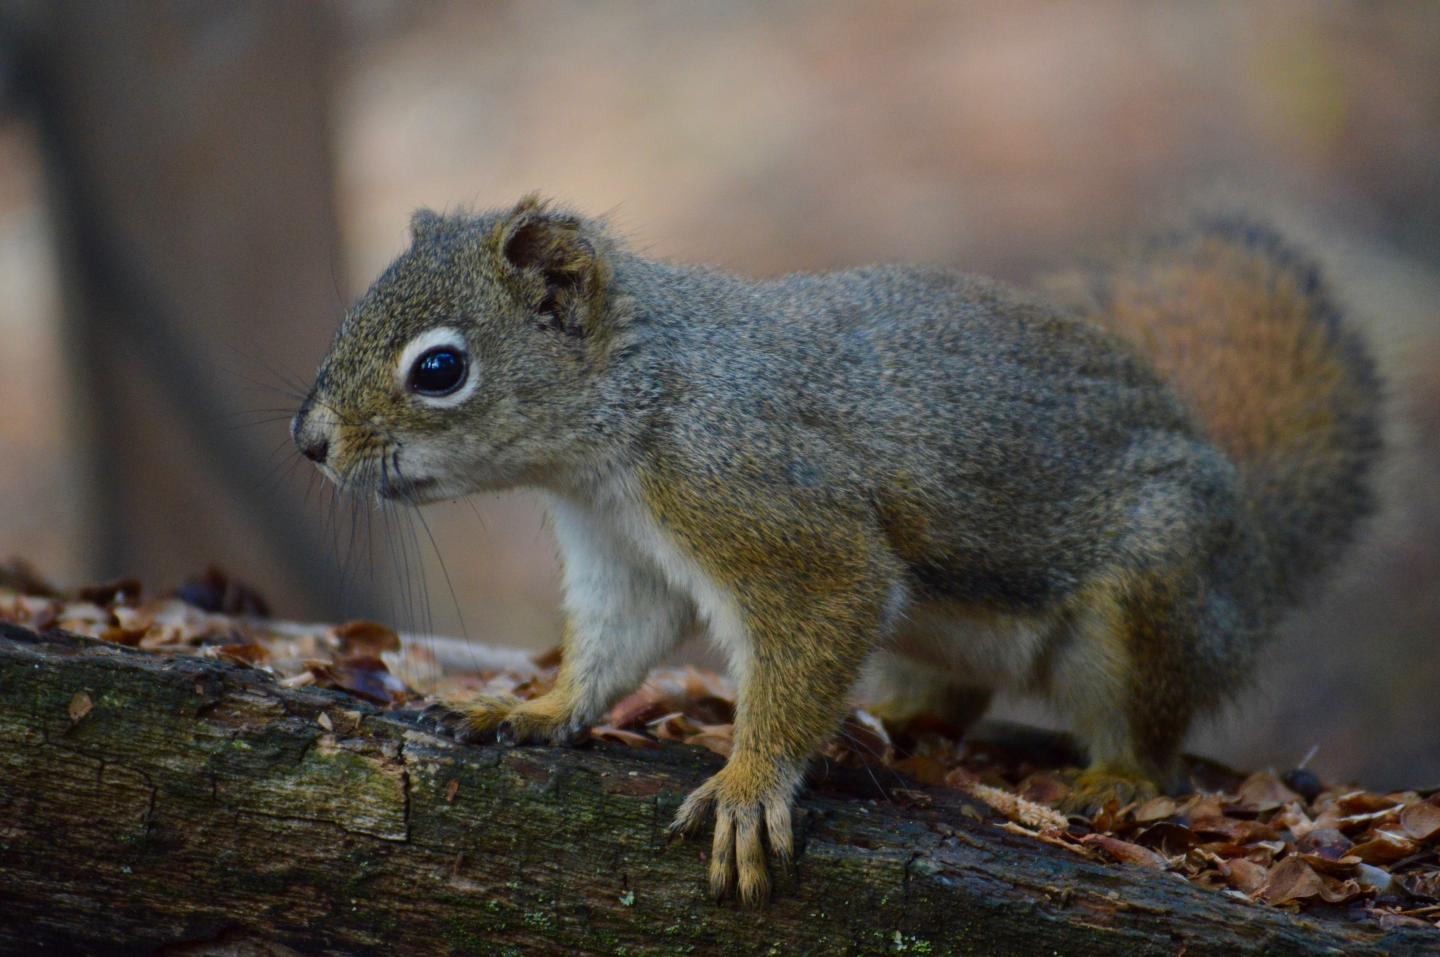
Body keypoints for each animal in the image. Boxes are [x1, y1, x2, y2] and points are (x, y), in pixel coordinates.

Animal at [292, 194, 1380, 904]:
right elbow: (614, 646)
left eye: (440, 369)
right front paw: (535, 709)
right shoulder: (619, 555)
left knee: (1152, 739)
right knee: (953, 694)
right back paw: (896, 720)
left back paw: (1110, 777)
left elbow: (813, 623)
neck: (637, 406)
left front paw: (745, 786)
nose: (309, 442)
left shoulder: (772, 511)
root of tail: (1254, 563)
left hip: (1153, 595)